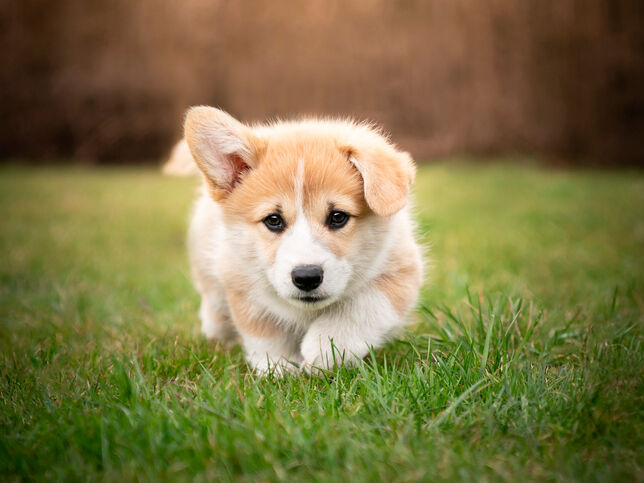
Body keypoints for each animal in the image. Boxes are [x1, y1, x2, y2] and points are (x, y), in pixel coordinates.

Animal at [166, 108, 426, 374]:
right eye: (273, 220)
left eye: (338, 217)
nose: (307, 277)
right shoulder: (241, 284)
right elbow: (264, 332)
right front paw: (277, 367)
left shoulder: (401, 270)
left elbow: (361, 308)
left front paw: (325, 349)